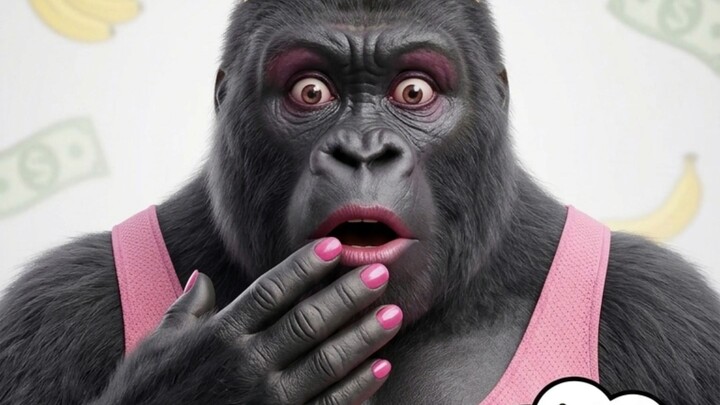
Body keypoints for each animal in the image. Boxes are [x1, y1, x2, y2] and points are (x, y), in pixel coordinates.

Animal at [1, 1, 719, 404]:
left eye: (413, 92)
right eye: (311, 92)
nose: (364, 151)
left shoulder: (664, 311)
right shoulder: (61, 303)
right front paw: (210, 383)